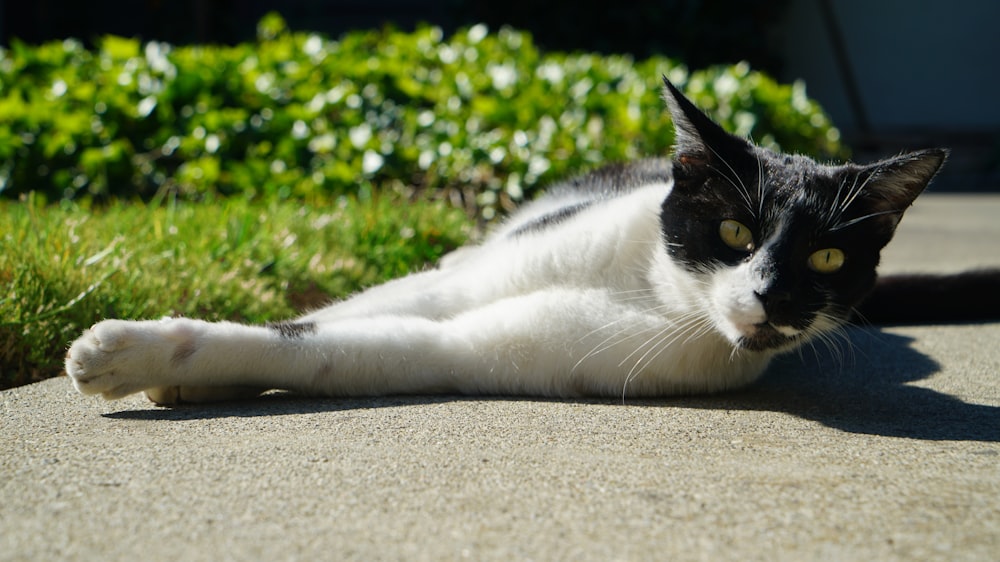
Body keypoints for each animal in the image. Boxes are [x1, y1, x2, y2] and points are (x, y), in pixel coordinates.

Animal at [68, 79, 944, 402]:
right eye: (735, 230)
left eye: (827, 258)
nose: (771, 299)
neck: (655, 289)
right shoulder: (457, 285)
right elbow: (314, 322)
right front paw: (140, 355)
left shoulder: (474, 348)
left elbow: (333, 351)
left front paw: (137, 359)